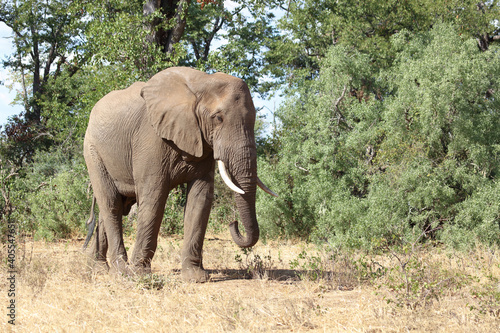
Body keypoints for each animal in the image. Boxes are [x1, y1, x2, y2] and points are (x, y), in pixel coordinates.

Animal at [83, 66, 276, 282]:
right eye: (218, 118)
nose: (233, 223)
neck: (202, 82)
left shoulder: (202, 142)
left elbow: (200, 198)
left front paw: (195, 277)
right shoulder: (150, 138)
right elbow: (154, 198)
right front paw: (140, 274)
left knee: (110, 207)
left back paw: (97, 269)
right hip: (92, 151)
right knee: (111, 205)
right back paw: (120, 271)